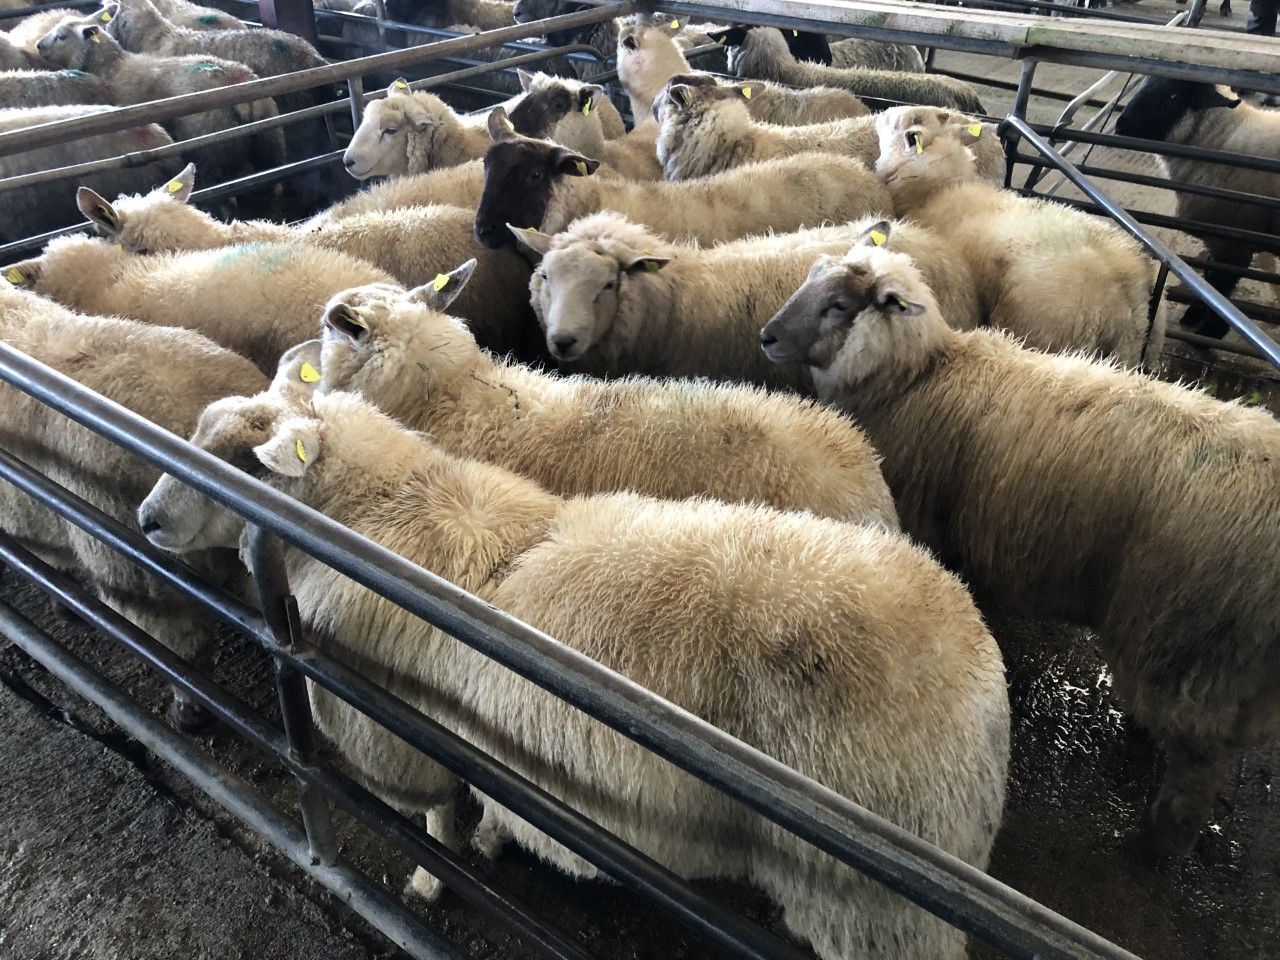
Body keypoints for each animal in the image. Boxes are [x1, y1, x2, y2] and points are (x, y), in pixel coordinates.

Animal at [37, 14, 285, 183]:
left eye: (61, 36)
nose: (38, 45)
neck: (112, 66)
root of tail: (236, 79)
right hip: (270, 143)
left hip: (213, 147)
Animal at [138, 381, 1007, 960]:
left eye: (236, 459)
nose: (144, 519)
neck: (380, 511)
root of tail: (982, 679)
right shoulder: (482, 733)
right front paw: (491, 840)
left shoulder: (399, 732)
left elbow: (434, 819)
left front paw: (430, 881)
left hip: (871, 906)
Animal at [760, 239, 1280, 858]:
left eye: (839, 304)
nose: (765, 336)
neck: (920, 376)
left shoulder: (929, 517)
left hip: (1188, 643)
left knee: (1195, 771)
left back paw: (1156, 843)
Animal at [1116, 79, 1280, 339]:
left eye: (1173, 96)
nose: (1120, 124)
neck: (1217, 139)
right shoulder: (1219, 239)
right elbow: (1208, 280)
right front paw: (1193, 314)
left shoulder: (1234, 245)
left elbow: (1221, 286)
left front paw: (1211, 331)